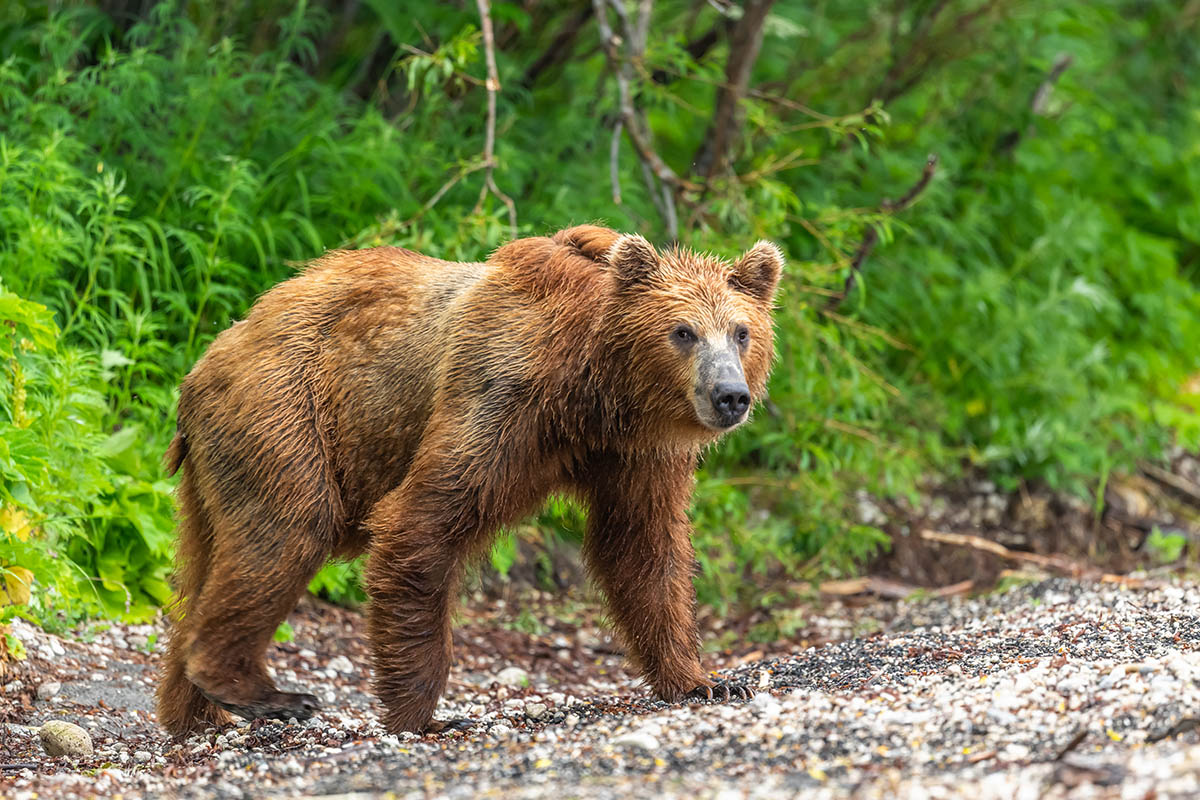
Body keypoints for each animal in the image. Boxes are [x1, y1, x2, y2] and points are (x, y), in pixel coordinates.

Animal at [155, 224, 783, 736]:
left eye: (741, 331)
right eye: (683, 332)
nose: (730, 395)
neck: (594, 392)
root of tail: (204, 364)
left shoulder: (636, 453)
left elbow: (642, 547)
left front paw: (705, 680)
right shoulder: (500, 393)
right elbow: (422, 523)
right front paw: (423, 716)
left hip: (221, 461)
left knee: (211, 561)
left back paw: (195, 711)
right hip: (286, 411)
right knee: (287, 530)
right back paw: (264, 692)